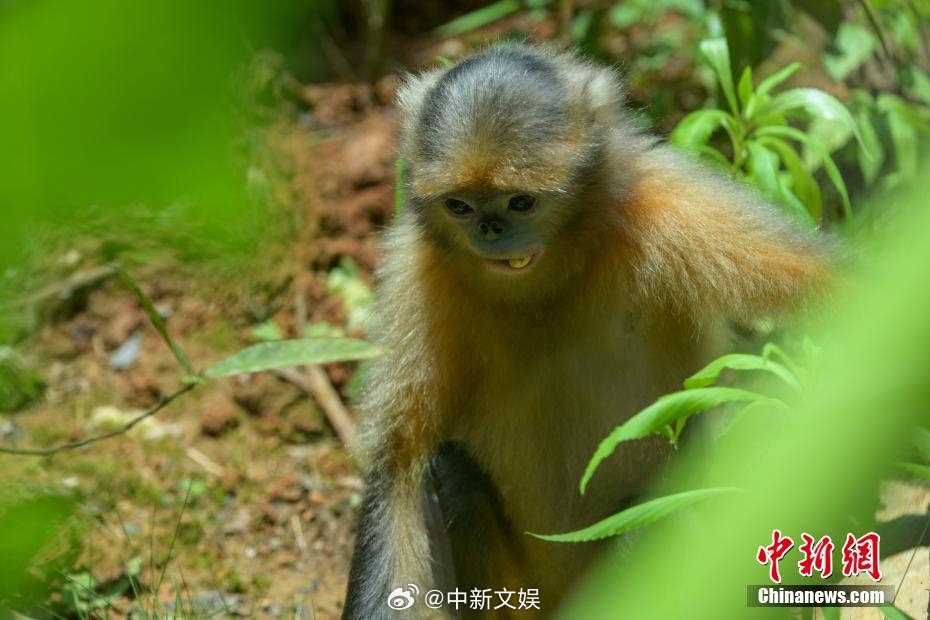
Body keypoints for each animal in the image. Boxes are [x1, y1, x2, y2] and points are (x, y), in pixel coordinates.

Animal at [338, 44, 828, 620]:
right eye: (459, 206)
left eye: (520, 203)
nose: (490, 230)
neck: (545, 289)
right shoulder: (418, 274)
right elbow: (397, 469)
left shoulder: (664, 205)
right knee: (446, 467)